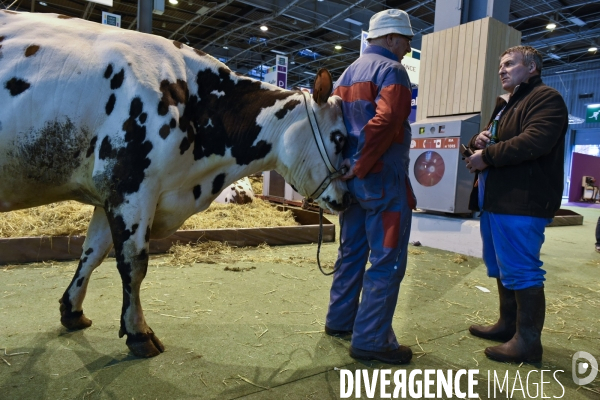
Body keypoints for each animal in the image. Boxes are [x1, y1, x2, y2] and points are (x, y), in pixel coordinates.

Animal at [0, 10, 352, 358]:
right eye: (339, 137)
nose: (346, 198)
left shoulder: (110, 191)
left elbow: (93, 252)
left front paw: (72, 310)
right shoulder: (132, 186)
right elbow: (133, 262)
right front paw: (138, 333)